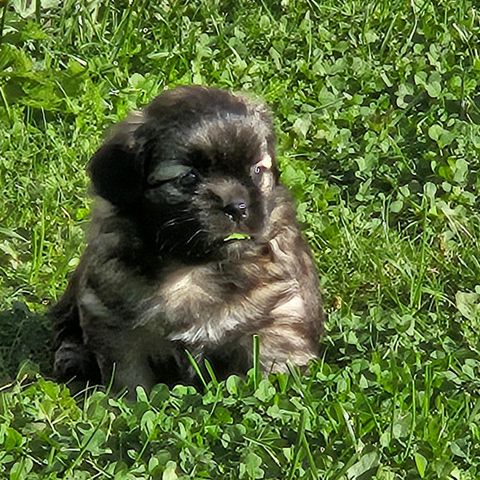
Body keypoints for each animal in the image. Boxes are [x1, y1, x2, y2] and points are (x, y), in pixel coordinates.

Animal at [51, 85, 322, 394]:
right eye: (189, 178)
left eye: (256, 171)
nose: (237, 207)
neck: (192, 266)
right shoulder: (117, 326)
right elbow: (131, 380)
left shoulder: (276, 319)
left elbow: (267, 369)